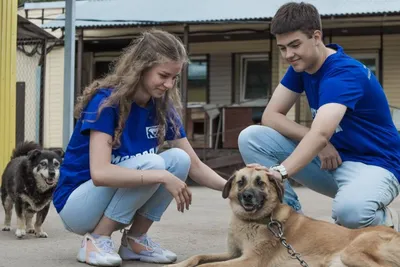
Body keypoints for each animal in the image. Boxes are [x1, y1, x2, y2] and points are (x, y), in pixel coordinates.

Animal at [165, 166, 400, 266]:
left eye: (260, 183)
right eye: (241, 182)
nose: (248, 197)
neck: (253, 221)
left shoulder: (249, 260)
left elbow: (208, 266)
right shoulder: (233, 253)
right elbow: (198, 257)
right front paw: (178, 266)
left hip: (352, 252)